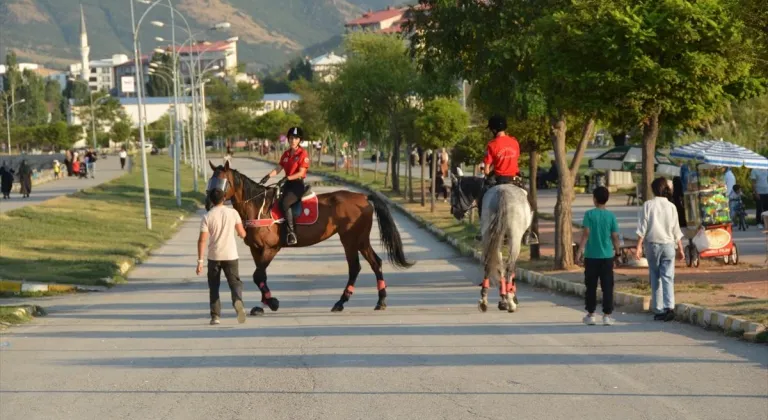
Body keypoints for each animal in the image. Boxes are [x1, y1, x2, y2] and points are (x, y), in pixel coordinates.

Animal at [204, 161, 414, 316]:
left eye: (223, 182)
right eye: (211, 181)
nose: (209, 202)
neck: (258, 207)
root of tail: (363, 197)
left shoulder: (271, 248)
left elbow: (258, 275)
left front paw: (272, 302)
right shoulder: (256, 249)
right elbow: (260, 276)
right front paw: (263, 304)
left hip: (350, 239)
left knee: (355, 267)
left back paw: (341, 301)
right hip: (361, 240)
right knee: (375, 263)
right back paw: (380, 300)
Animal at [450, 174, 536, 312]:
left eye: (453, 193)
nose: (454, 213)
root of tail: (502, 193)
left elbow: (499, 266)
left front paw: (503, 299)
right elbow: (509, 268)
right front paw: (511, 297)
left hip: (489, 235)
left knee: (490, 264)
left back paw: (485, 300)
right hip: (514, 237)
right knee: (510, 266)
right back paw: (510, 302)